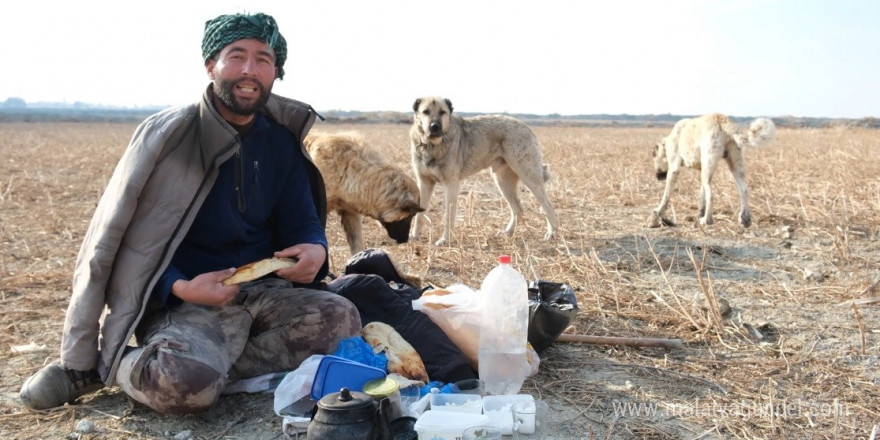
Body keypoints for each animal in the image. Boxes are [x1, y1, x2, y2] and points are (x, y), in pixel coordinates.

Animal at [410, 96, 556, 246]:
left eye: (442, 112)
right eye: (425, 112)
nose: (435, 126)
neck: (431, 146)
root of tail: (526, 127)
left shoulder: (451, 184)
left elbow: (448, 216)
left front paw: (445, 240)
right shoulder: (424, 183)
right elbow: (419, 213)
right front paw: (415, 236)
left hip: (529, 176)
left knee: (549, 207)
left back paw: (551, 233)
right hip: (503, 182)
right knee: (518, 209)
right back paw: (507, 232)